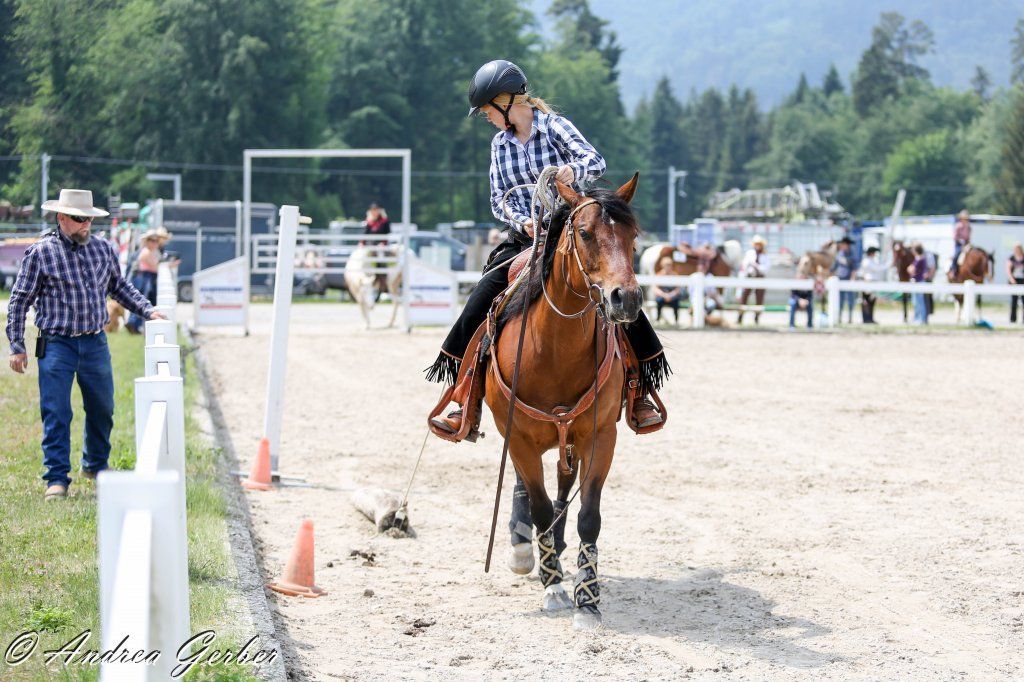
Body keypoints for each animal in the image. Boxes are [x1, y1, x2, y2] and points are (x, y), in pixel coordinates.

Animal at [485, 174, 645, 631]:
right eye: (586, 233)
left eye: (633, 236)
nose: (625, 298)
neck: (552, 351)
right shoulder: (518, 439)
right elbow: (538, 506)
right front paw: (553, 585)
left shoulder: (600, 436)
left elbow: (587, 515)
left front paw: (587, 599)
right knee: (530, 489)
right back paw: (528, 551)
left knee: (561, 485)